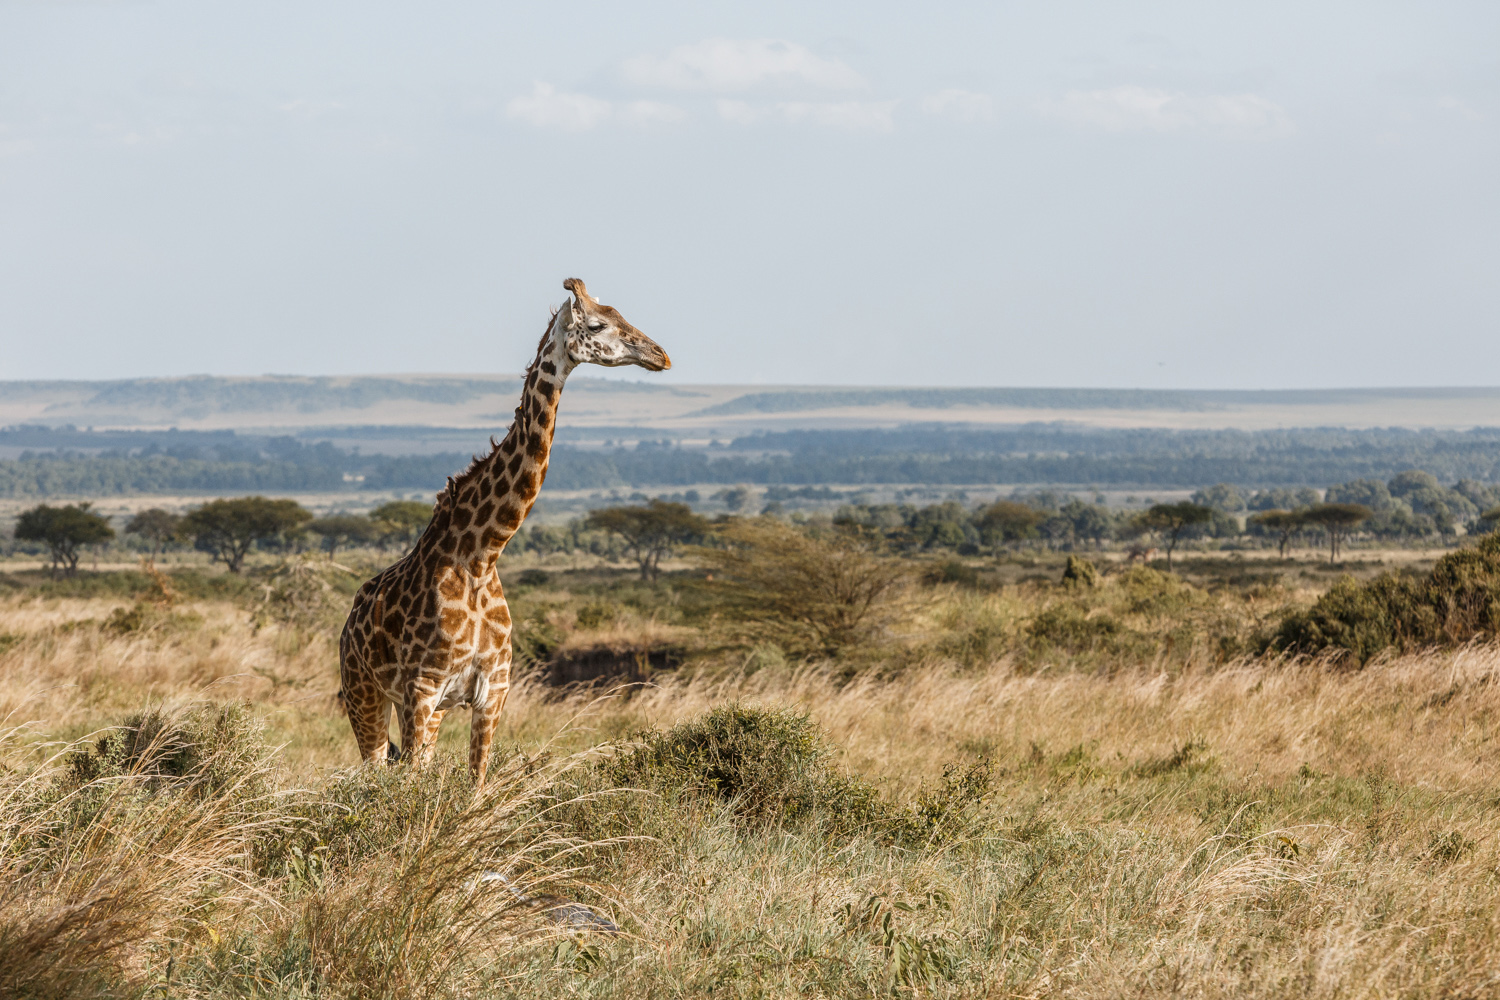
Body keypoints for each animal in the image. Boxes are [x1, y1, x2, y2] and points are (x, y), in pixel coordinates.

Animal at [343, 277, 672, 785]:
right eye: (598, 324)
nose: (660, 355)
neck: (481, 555)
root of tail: (349, 619)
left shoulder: (491, 692)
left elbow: (476, 783)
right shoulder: (421, 689)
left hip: (429, 710)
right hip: (365, 693)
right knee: (376, 768)